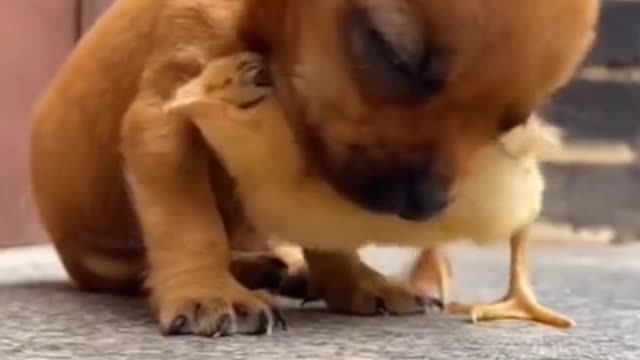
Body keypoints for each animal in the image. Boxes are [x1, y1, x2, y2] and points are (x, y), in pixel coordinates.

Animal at [31, 0, 600, 338]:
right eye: (395, 57)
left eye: (514, 123)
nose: (428, 207)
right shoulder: (162, 121)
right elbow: (189, 225)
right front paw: (207, 291)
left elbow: (326, 231)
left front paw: (356, 280)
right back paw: (247, 271)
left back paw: (280, 266)